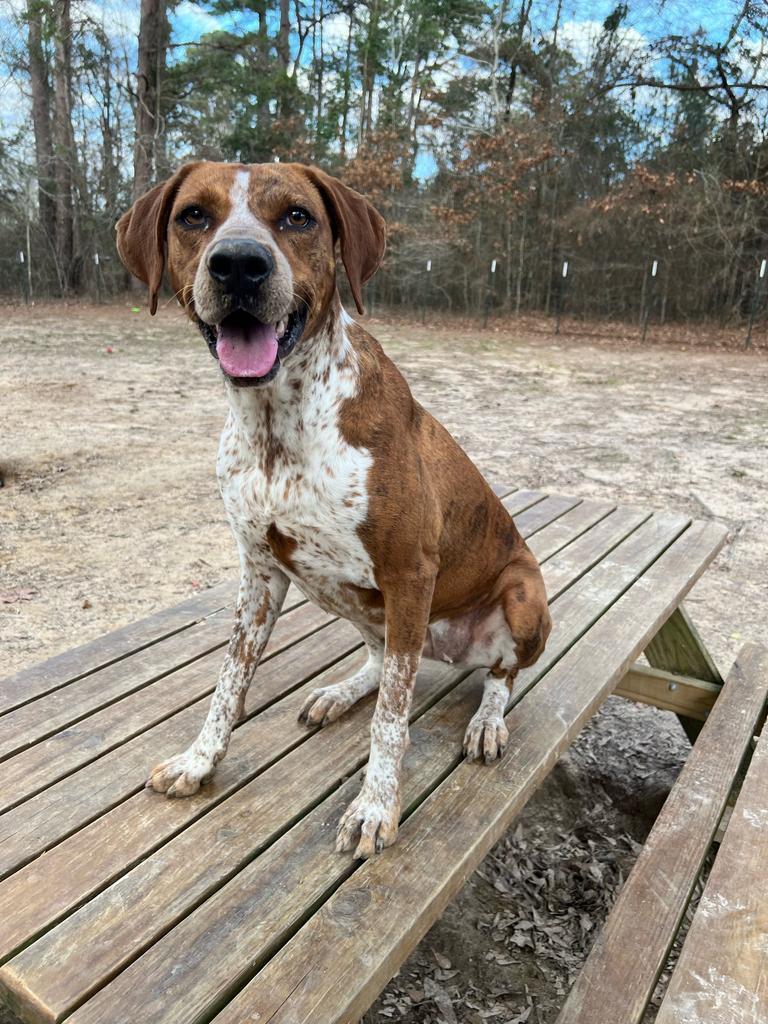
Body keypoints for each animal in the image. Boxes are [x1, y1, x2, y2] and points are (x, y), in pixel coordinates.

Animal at [117, 163, 552, 860]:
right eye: (193, 216)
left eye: (298, 216)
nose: (239, 265)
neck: (277, 421)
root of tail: (448, 648)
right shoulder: (260, 574)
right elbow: (228, 682)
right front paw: (199, 761)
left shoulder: (410, 573)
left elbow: (392, 722)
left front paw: (376, 807)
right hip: (361, 605)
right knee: (382, 663)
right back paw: (342, 691)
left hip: (520, 595)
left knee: (498, 676)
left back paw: (487, 720)